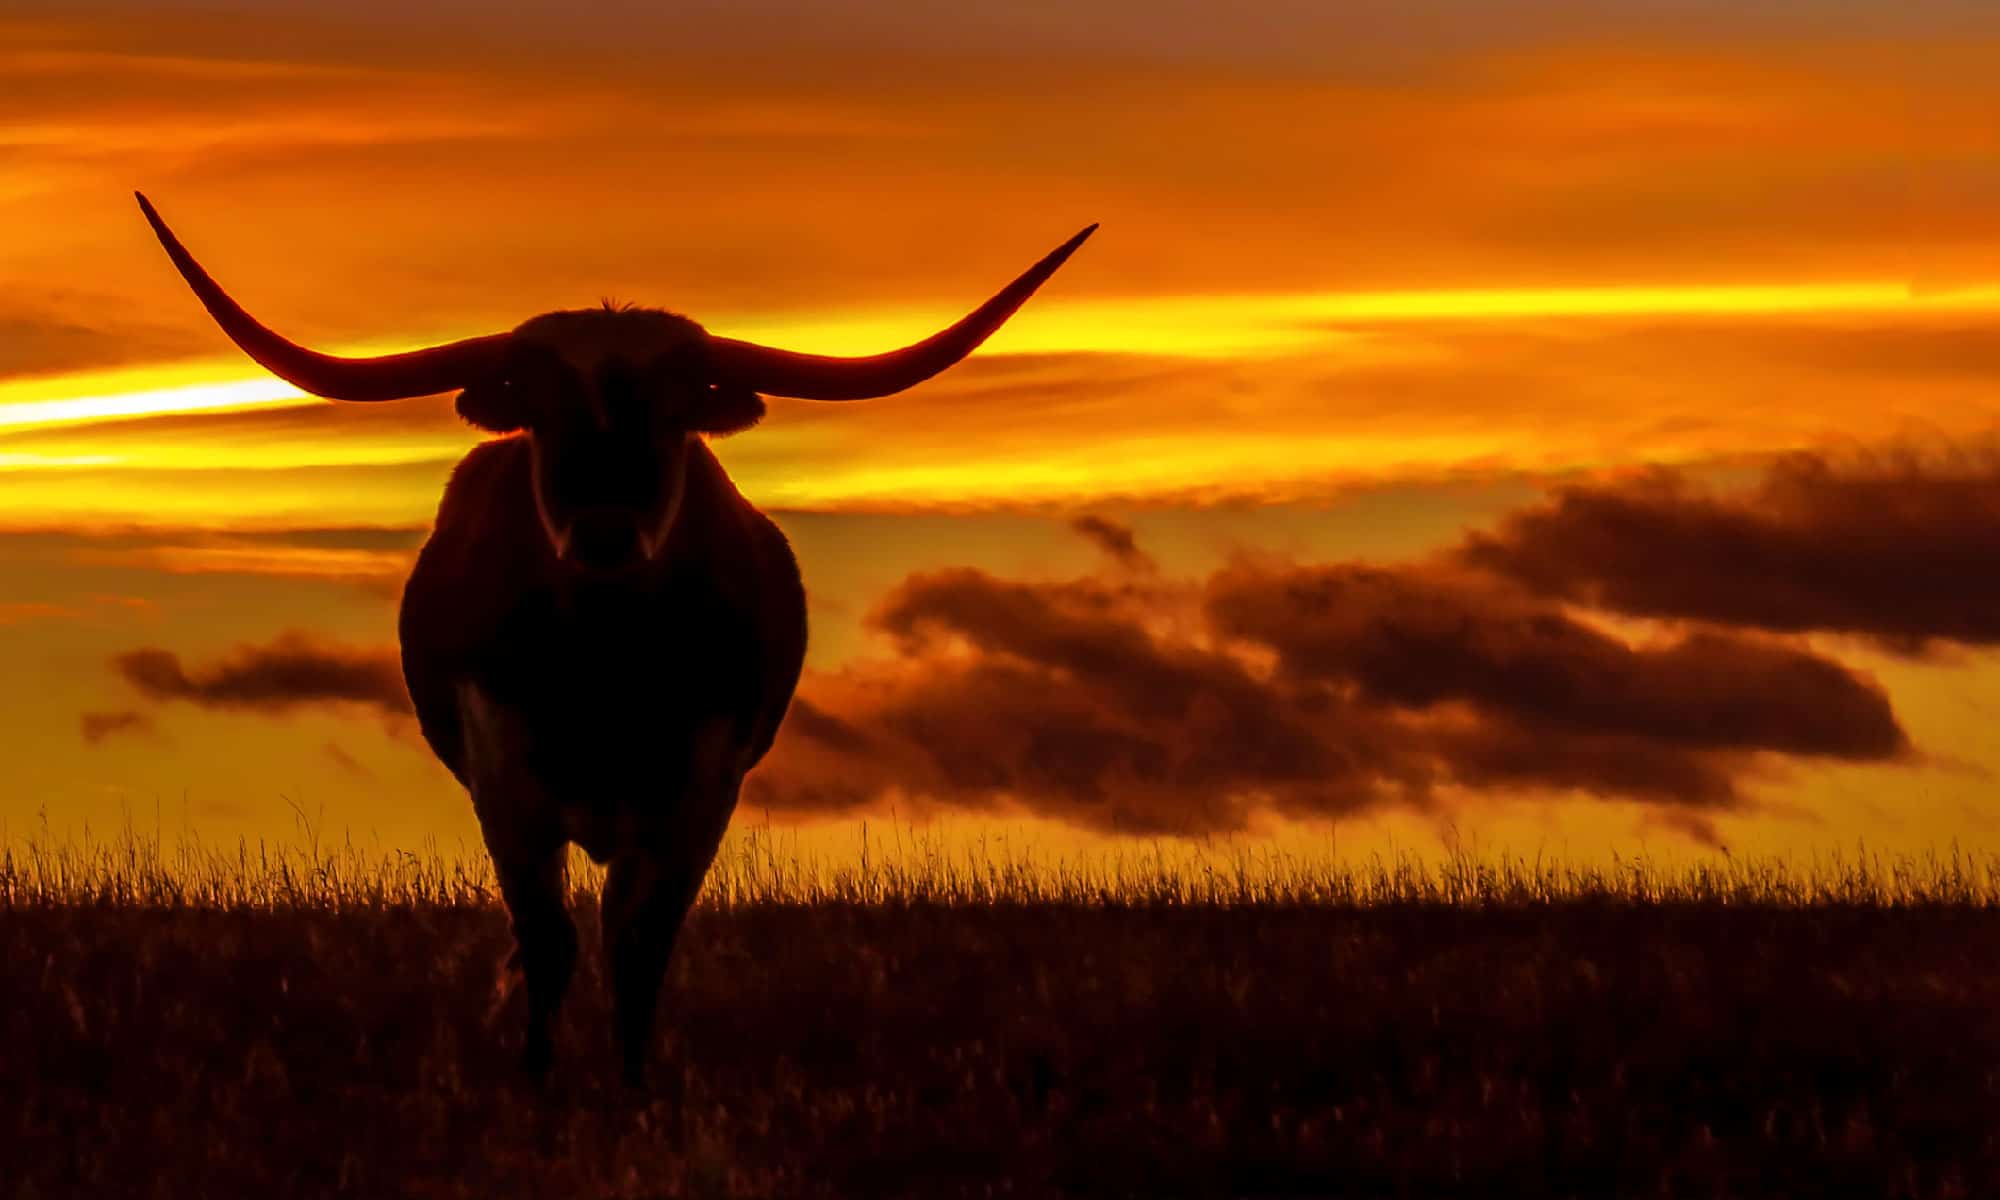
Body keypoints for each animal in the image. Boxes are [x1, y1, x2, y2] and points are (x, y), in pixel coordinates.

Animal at [135, 193, 1095, 1086]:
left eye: (674, 415)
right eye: (540, 412)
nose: (603, 532)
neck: (606, 666)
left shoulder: (702, 789)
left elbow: (641, 942)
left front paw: (634, 1085)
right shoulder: (505, 777)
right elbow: (547, 938)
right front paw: (539, 1080)